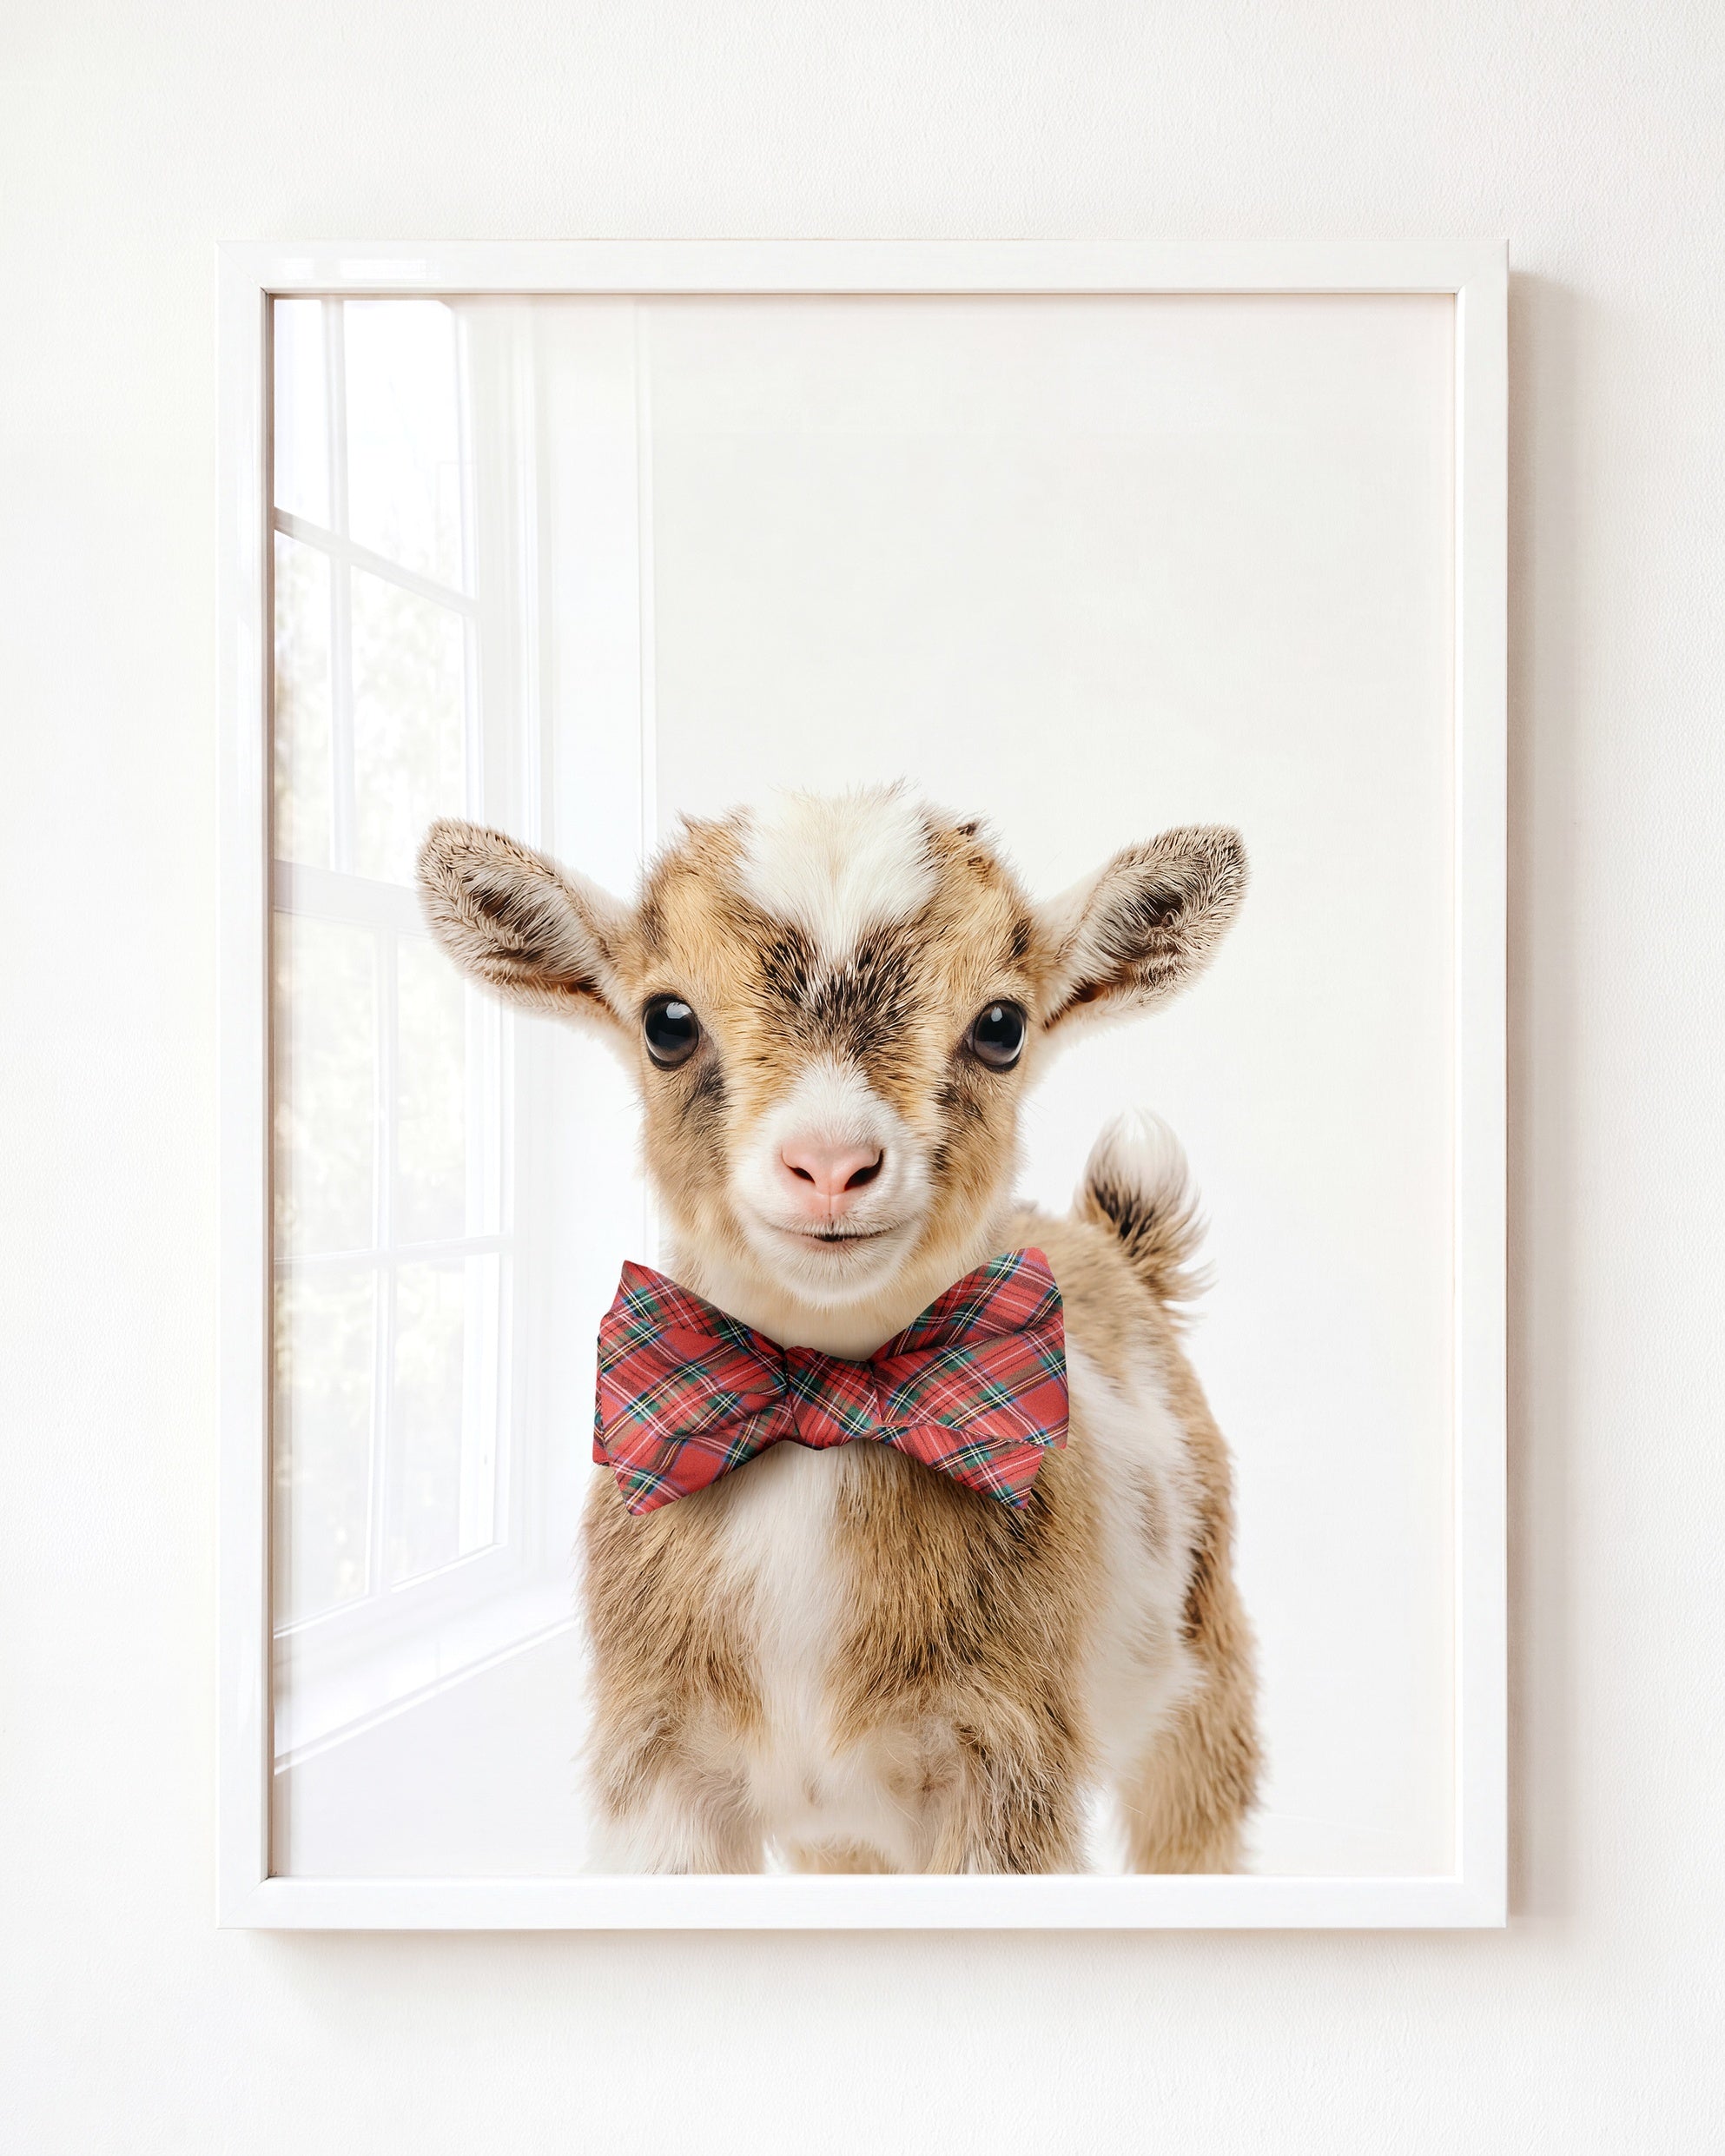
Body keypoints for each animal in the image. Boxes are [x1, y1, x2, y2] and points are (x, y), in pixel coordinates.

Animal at [418, 785, 1259, 1872]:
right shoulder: (658, 1767)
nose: (829, 1163)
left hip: (1206, 1669)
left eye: (1001, 1025)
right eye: (666, 1021)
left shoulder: (1007, 1764)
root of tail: (1115, 1245)